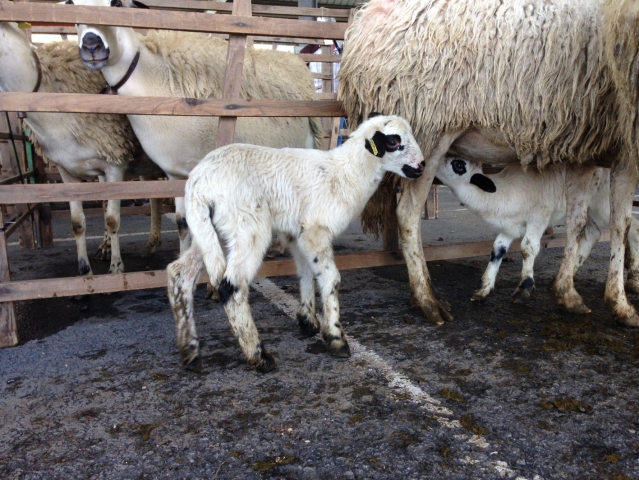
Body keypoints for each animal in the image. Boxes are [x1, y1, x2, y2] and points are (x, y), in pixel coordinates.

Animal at [0, 22, 164, 276]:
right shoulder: (67, 171)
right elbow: (77, 223)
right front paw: (85, 269)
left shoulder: (114, 165)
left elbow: (112, 220)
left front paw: (116, 268)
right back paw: (150, 244)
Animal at [69, 0, 322, 255]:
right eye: (72, 8)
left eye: (117, 3)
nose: (91, 46)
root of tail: (297, 63)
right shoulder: (175, 173)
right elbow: (183, 223)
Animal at [166, 114, 424, 374]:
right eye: (393, 142)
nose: (421, 166)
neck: (346, 174)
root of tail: (199, 183)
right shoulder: (315, 229)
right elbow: (331, 279)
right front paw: (336, 338)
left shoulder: (298, 232)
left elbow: (306, 273)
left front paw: (308, 322)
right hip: (247, 225)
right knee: (231, 286)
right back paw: (258, 356)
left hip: (209, 229)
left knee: (179, 274)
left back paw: (190, 352)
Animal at [438, 158, 639, 304]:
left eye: (458, 164)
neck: (504, 193)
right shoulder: (509, 227)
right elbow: (497, 249)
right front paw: (483, 289)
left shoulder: (539, 216)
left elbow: (528, 247)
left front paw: (524, 288)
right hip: (587, 205)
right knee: (593, 232)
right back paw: (563, 277)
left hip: (604, 202)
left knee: (631, 227)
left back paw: (633, 278)